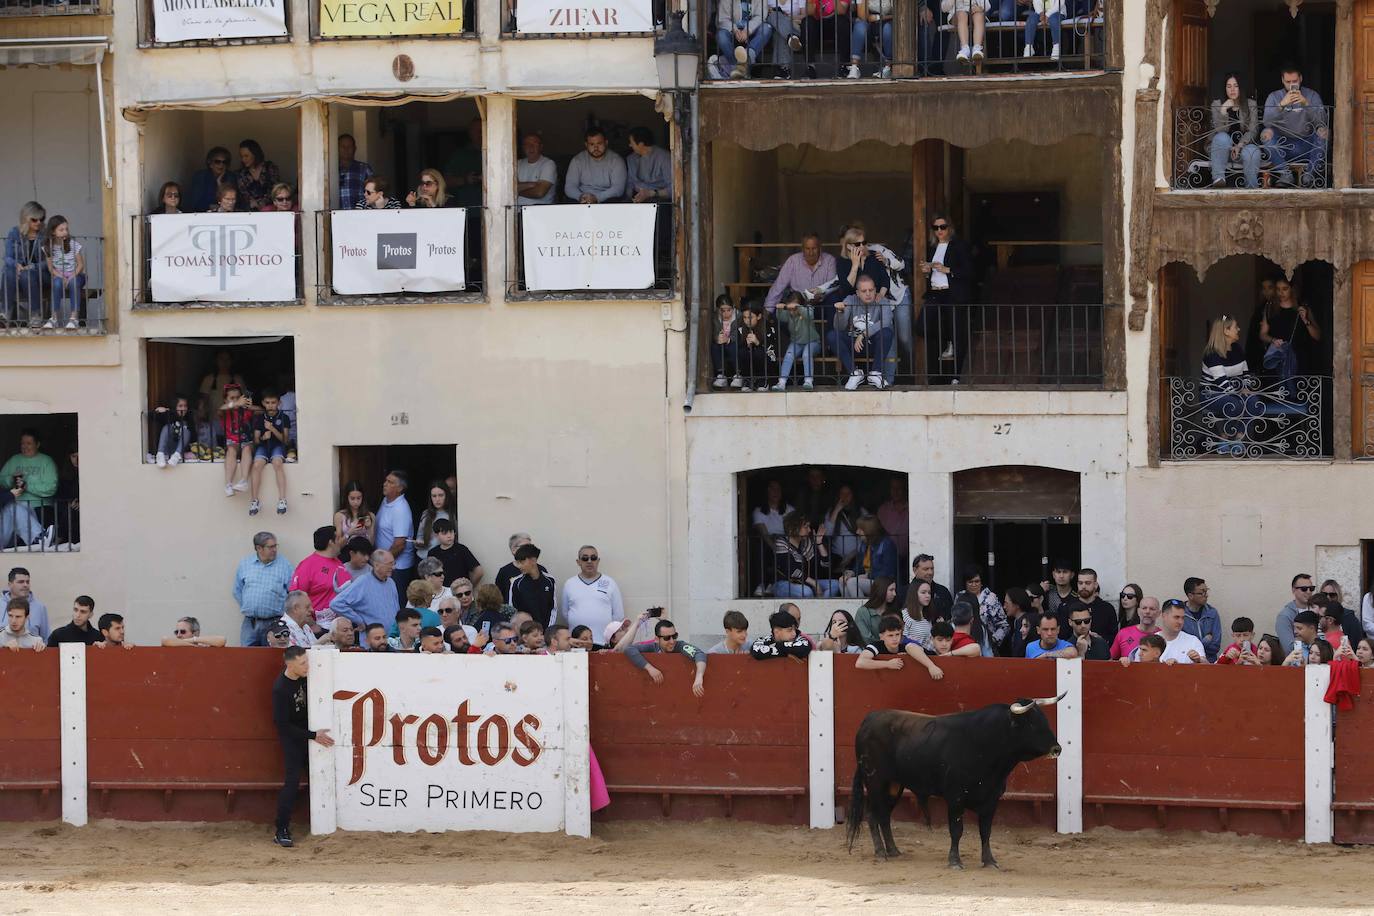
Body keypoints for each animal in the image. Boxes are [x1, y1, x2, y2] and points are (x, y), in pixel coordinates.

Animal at [840, 697, 1066, 873]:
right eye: (1032, 724)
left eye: (1045, 720)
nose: (1057, 748)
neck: (987, 743)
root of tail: (869, 719)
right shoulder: (955, 797)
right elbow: (957, 829)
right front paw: (955, 861)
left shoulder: (992, 798)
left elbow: (986, 831)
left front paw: (989, 861)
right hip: (876, 782)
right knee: (872, 815)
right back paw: (880, 853)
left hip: (894, 785)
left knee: (884, 816)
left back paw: (894, 851)